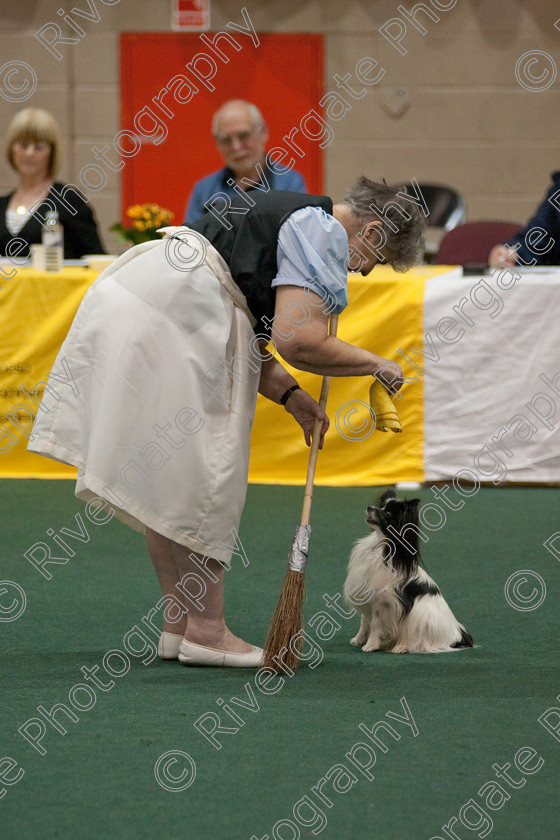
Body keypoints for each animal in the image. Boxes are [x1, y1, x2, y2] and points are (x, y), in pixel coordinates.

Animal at [346, 488, 472, 652]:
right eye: (381, 506)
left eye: (388, 514)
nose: (369, 508)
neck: (380, 545)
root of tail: (457, 635)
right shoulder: (367, 598)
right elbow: (364, 621)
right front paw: (359, 639)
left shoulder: (382, 602)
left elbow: (374, 624)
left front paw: (371, 645)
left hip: (419, 614)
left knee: (418, 641)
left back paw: (401, 647)